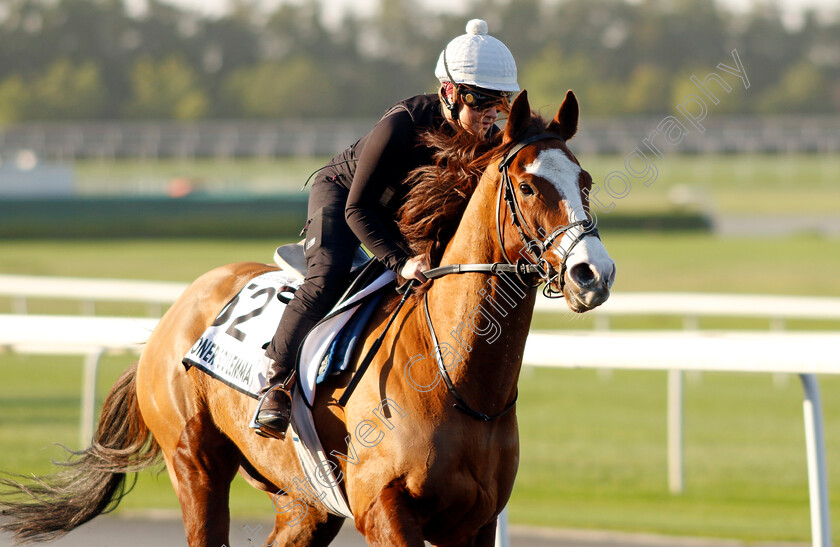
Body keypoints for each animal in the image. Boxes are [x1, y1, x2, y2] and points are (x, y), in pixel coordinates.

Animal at [0, 91, 616, 547]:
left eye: (585, 182)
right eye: (530, 185)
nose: (594, 273)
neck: (457, 380)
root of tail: (174, 313)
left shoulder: (476, 521)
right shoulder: (384, 507)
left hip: (301, 501)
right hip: (195, 464)